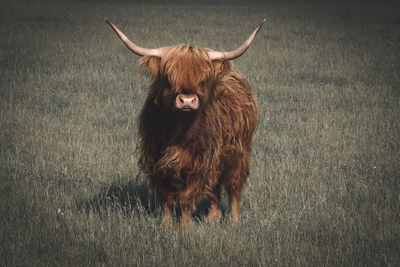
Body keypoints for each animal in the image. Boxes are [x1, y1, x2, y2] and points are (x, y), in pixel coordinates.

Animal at [105, 17, 266, 225]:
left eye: (204, 79)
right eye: (168, 77)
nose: (187, 100)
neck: (179, 131)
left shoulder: (200, 161)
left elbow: (186, 198)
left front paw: (184, 227)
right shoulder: (156, 160)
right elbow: (167, 197)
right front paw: (165, 225)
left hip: (239, 152)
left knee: (234, 185)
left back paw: (233, 219)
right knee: (214, 184)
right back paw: (213, 217)